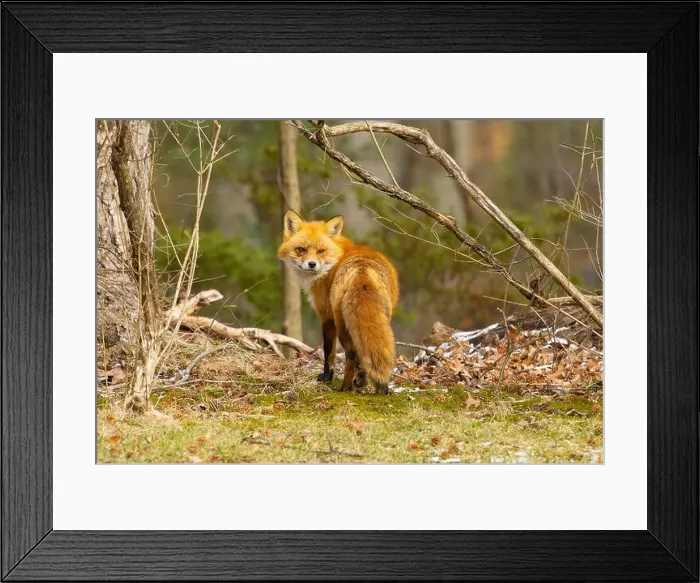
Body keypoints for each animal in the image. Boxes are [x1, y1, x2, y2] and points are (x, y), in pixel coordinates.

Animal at [277, 210, 399, 394]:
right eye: (301, 250)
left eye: (321, 251)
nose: (311, 264)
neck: (334, 263)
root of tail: (361, 270)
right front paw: (361, 380)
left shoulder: (327, 318)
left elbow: (329, 353)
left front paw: (326, 377)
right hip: (382, 318)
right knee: (367, 351)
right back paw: (377, 388)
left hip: (343, 327)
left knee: (351, 354)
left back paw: (345, 388)